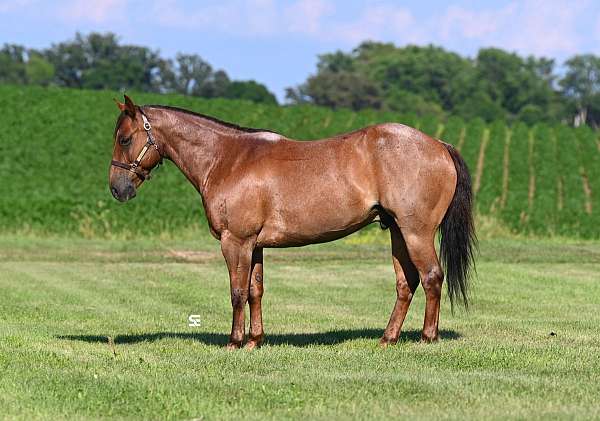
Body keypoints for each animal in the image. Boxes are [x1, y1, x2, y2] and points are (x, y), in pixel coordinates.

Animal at [106, 94, 474, 348]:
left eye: (125, 139)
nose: (117, 188)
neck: (228, 159)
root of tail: (439, 145)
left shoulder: (235, 241)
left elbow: (237, 291)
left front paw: (234, 342)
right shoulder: (255, 245)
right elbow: (255, 290)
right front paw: (255, 340)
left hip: (416, 232)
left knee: (431, 277)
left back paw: (427, 337)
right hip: (397, 231)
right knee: (406, 283)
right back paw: (388, 338)